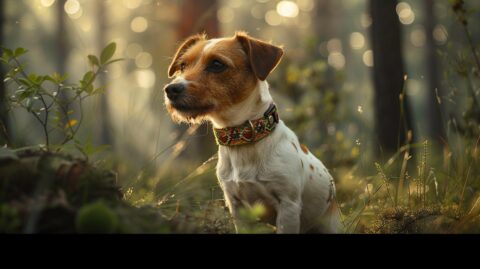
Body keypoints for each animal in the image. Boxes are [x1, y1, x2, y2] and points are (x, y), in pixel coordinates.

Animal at [164, 31, 342, 232]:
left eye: (217, 64)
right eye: (183, 65)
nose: (171, 89)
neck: (244, 138)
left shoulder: (288, 205)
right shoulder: (236, 206)